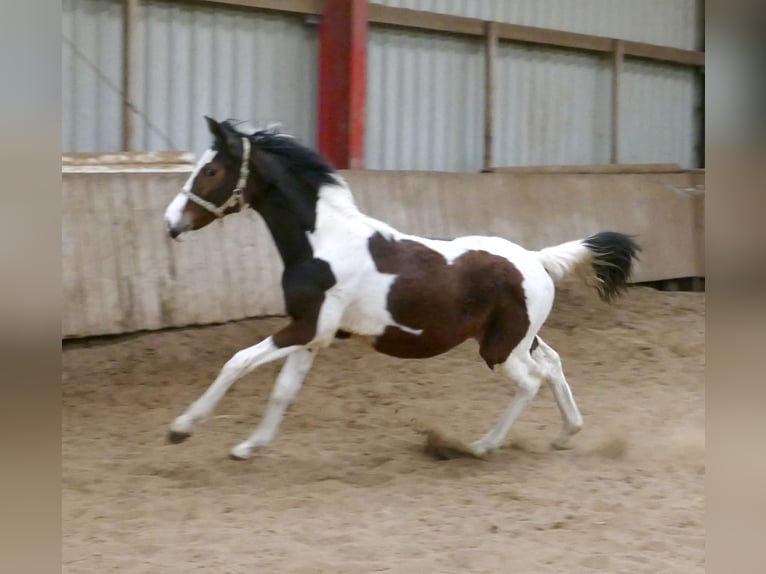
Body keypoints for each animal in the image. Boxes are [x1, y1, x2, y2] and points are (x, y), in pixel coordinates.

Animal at [163, 116, 640, 461]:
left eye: (211, 170)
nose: (171, 223)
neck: (324, 242)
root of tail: (537, 260)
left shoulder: (306, 328)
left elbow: (237, 362)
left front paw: (180, 429)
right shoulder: (313, 332)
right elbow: (283, 390)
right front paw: (249, 446)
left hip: (500, 349)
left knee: (531, 381)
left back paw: (481, 445)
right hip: (515, 338)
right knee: (553, 365)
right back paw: (566, 434)